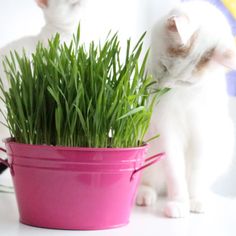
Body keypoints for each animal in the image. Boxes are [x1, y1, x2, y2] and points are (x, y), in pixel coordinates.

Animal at [137, 0, 235, 218]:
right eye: (164, 67)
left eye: (185, 82)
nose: (164, 87)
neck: (185, 98)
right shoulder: (167, 130)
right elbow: (176, 173)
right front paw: (179, 202)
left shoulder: (204, 134)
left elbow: (198, 173)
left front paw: (196, 199)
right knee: (147, 180)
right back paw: (145, 194)